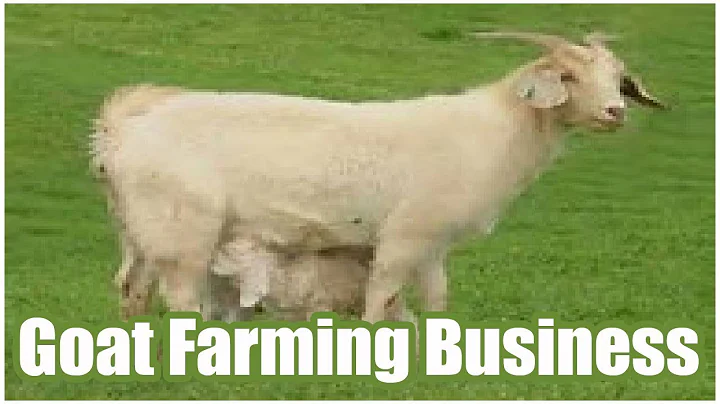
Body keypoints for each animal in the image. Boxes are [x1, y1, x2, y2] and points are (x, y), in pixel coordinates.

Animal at [92, 32, 665, 323]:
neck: (496, 129)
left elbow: (435, 297)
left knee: (131, 286)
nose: (615, 112)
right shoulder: (407, 233)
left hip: (141, 232)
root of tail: (121, 128)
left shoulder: (434, 242)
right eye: (567, 76)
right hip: (182, 233)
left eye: (618, 79)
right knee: (181, 295)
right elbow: (382, 290)